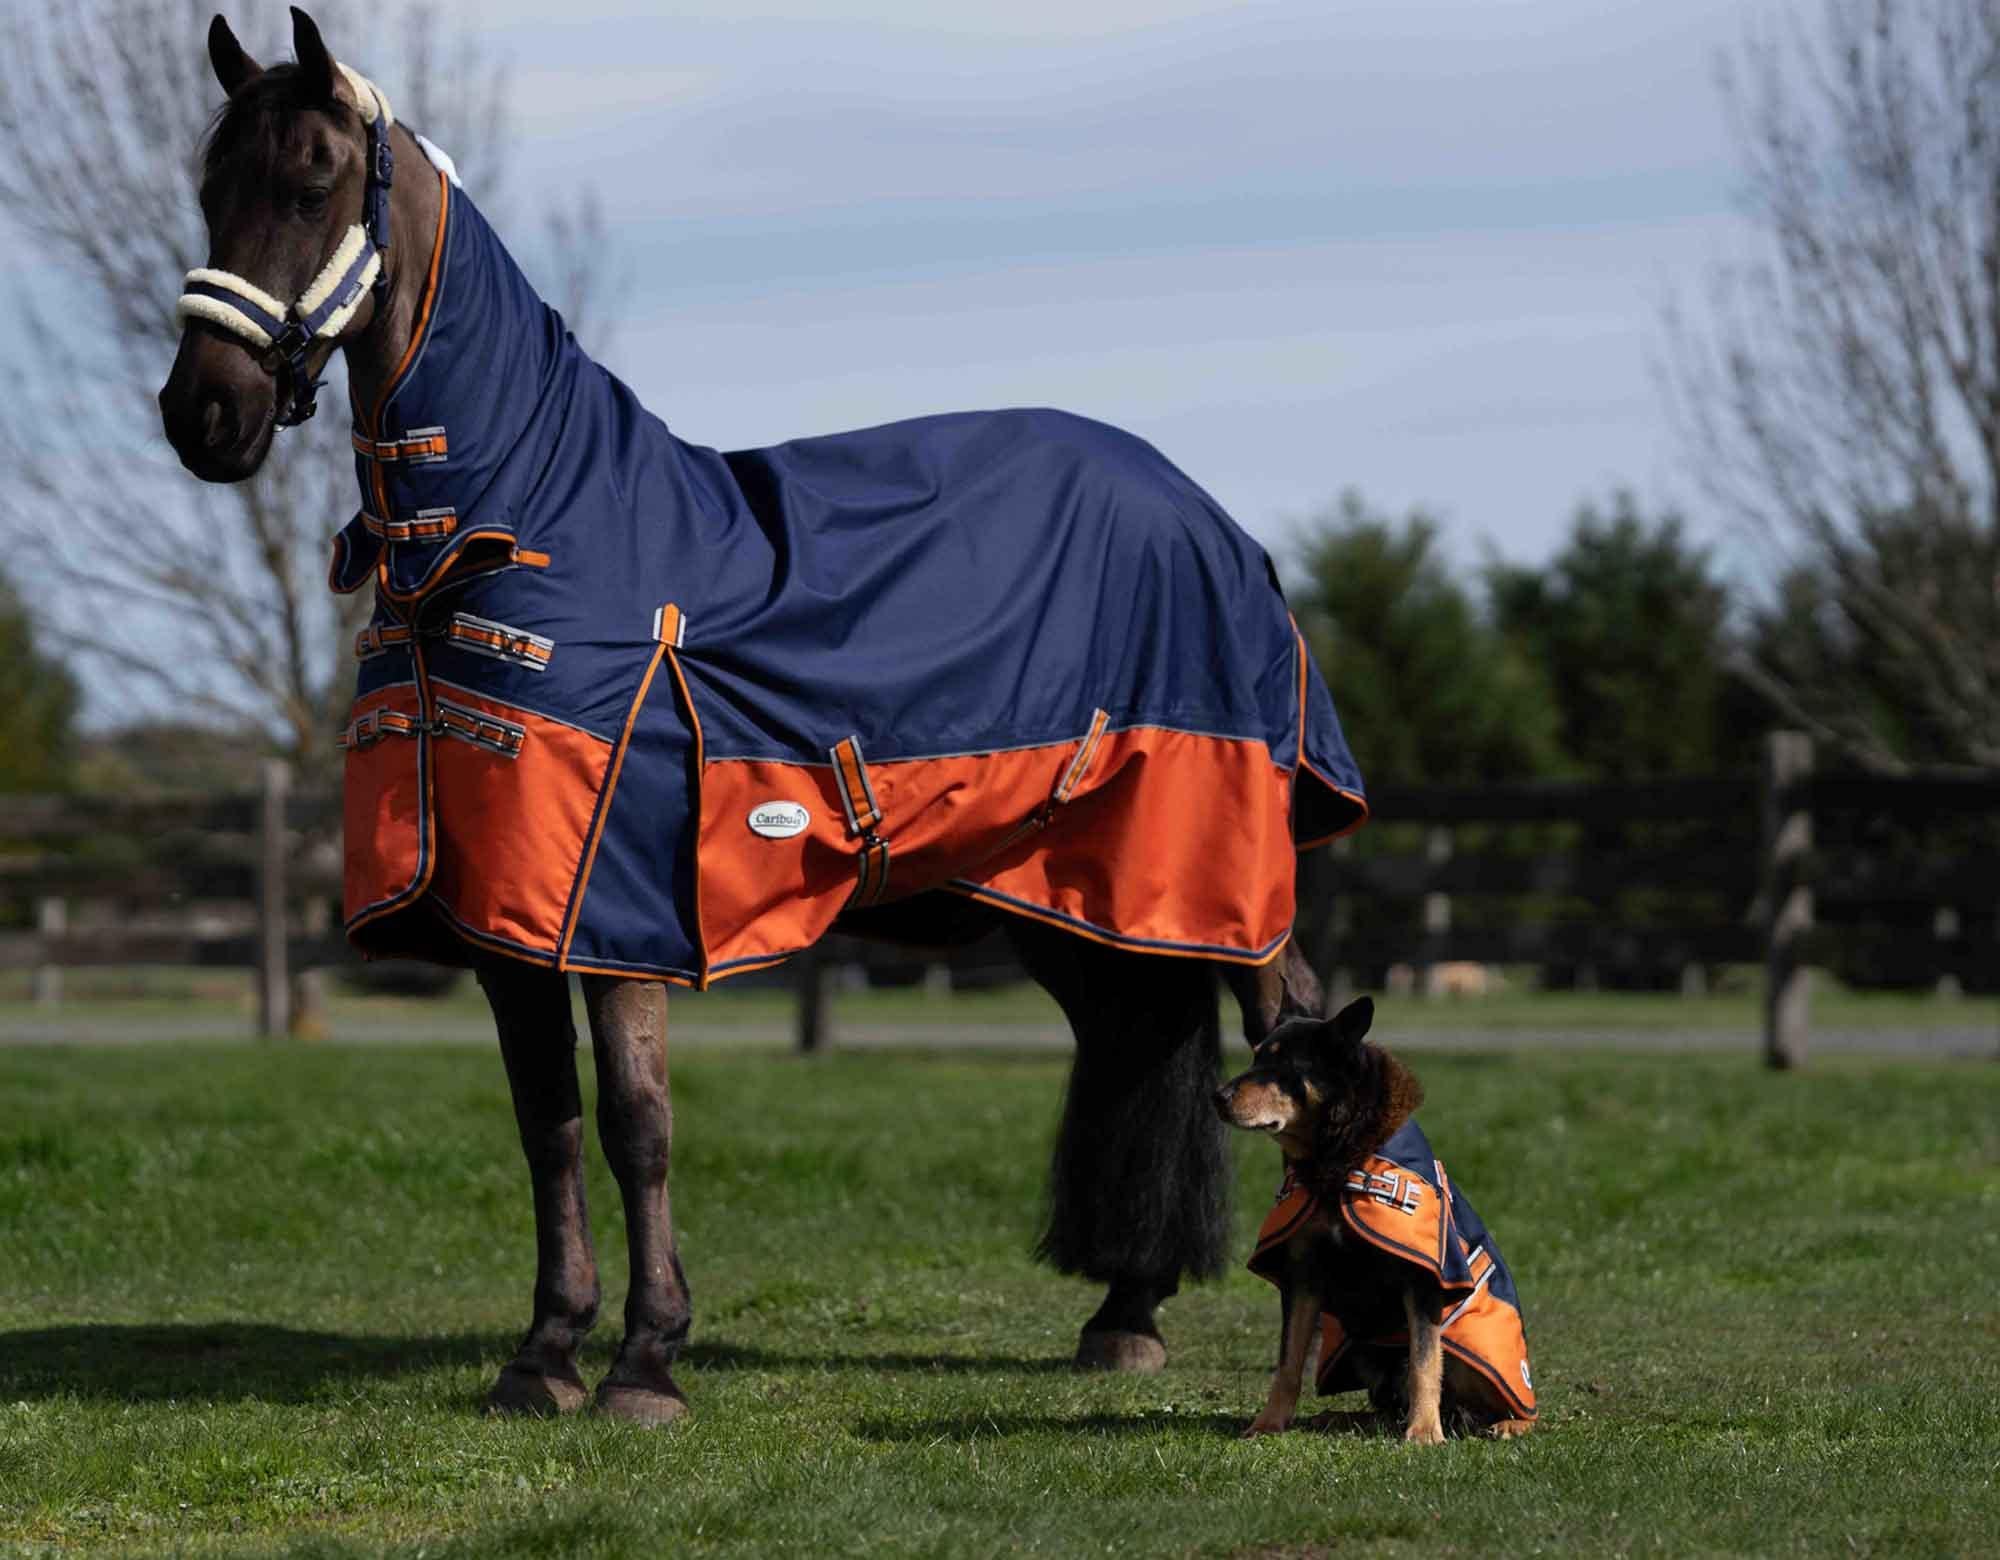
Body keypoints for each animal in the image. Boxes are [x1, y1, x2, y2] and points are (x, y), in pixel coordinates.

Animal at [158, 8, 1368, 1426]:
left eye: (308, 182)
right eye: (208, 186)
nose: (203, 415)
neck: (525, 524)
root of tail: (1211, 522)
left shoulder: (611, 906)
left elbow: (637, 1122)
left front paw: (644, 1363)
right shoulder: (506, 921)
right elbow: (546, 1126)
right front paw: (543, 1355)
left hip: (1221, 871)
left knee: (1285, 1014)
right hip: (1070, 900)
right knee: (1129, 1036)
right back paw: (1124, 1314)